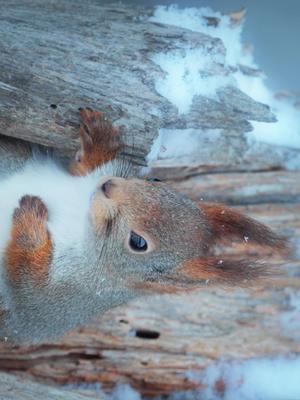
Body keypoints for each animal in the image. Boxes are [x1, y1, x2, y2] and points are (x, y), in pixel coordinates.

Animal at [0, 108, 290, 342]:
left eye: (138, 242)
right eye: (156, 179)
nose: (108, 186)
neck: (82, 214)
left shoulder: (56, 303)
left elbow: (27, 289)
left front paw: (31, 217)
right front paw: (99, 139)